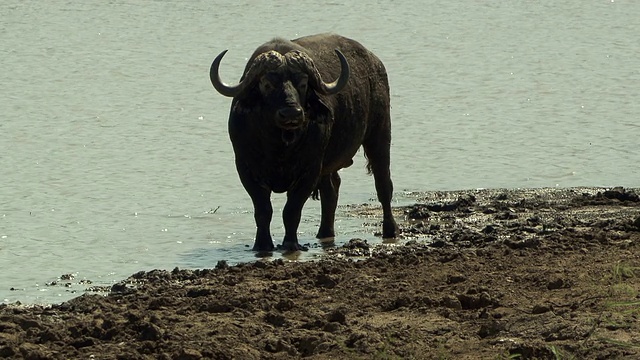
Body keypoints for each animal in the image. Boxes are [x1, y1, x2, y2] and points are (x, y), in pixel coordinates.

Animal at [210, 33, 398, 252]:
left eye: (302, 83)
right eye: (266, 84)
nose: (291, 113)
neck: (279, 146)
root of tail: (375, 64)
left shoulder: (310, 169)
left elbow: (291, 210)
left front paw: (291, 243)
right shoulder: (246, 168)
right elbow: (263, 210)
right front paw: (262, 245)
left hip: (380, 134)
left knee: (383, 185)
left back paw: (390, 230)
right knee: (331, 190)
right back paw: (324, 232)